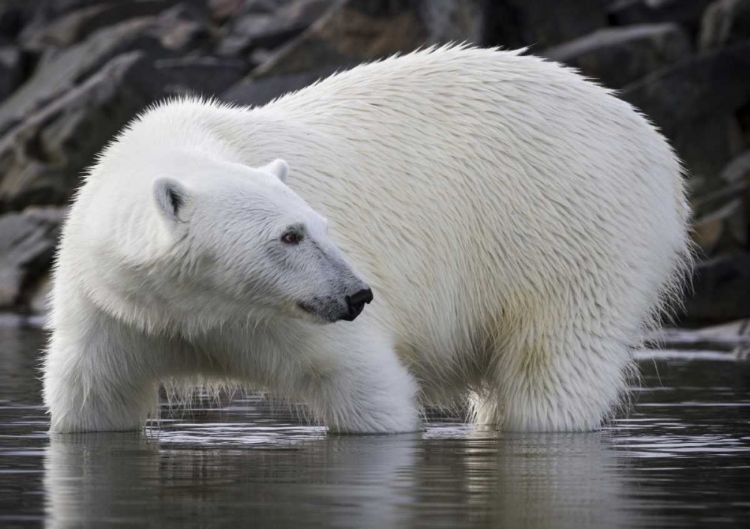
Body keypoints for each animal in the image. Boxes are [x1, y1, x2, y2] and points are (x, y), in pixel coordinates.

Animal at [42, 46, 692, 434]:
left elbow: (366, 388)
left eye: (319, 225)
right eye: (290, 234)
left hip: (572, 235)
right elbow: (91, 400)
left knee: (551, 371)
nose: (357, 295)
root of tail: (654, 143)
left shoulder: (285, 320)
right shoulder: (113, 308)